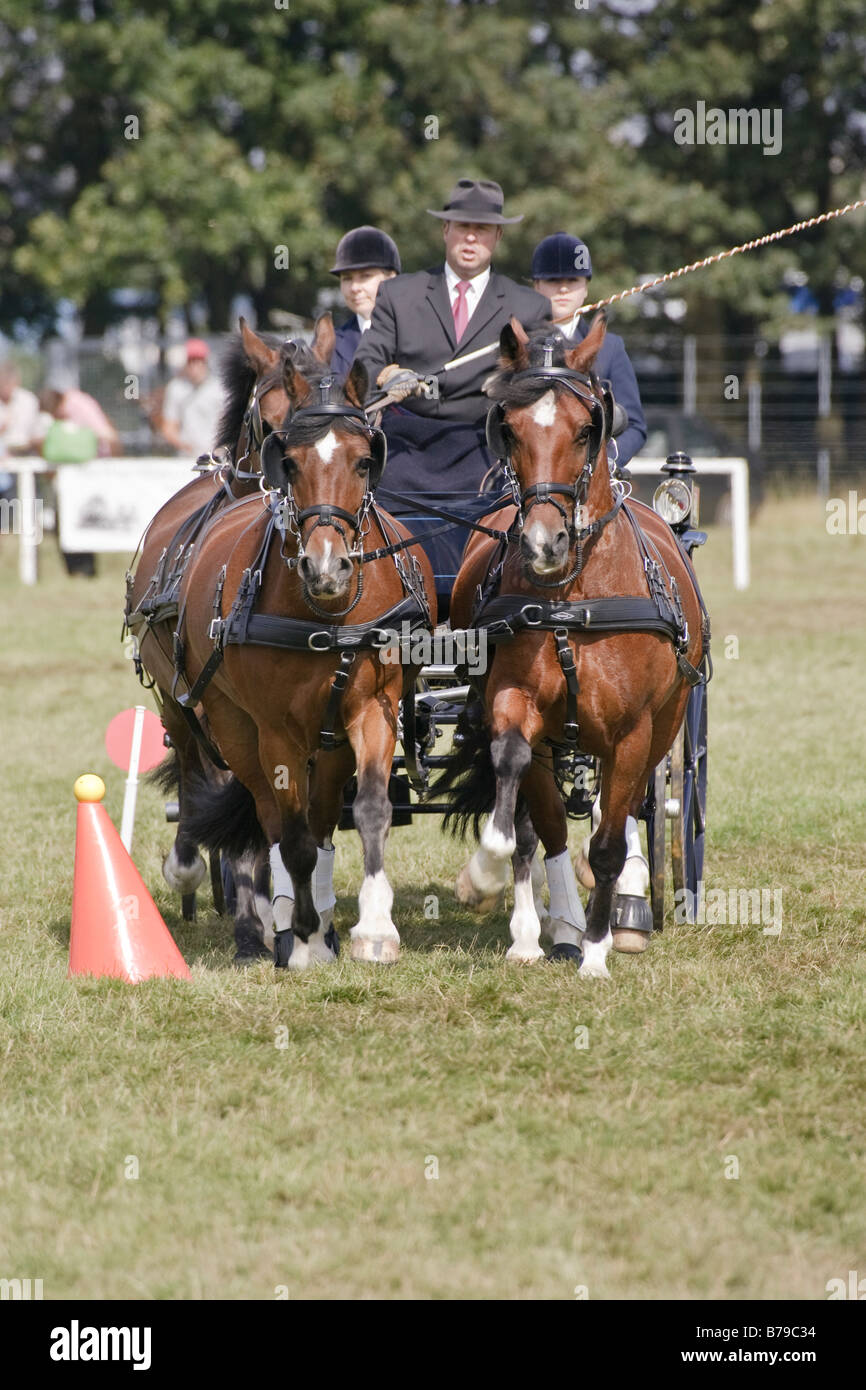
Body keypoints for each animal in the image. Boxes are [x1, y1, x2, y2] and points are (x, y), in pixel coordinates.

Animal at [125, 316, 338, 960]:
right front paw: (251, 925)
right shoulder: (223, 708)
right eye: (269, 422)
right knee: (196, 772)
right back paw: (197, 873)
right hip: (176, 705)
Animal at [171, 348, 437, 969]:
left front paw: (374, 930)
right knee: (273, 821)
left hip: (332, 737)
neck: (330, 617)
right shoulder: (276, 732)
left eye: (365, 462)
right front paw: (307, 937)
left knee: (321, 821)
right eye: (288, 463)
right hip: (232, 730)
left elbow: (370, 810)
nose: (326, 567)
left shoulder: (375, 707)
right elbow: (289, 839)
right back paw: (285, 926)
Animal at [439, 315, 709, 978]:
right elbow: (521, 799)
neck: (571, 597)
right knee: (548, 826)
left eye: (587, 429)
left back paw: (619, 919)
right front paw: (485, 877)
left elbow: (611, 840)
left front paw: (598, 950)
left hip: (663, 725)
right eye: (507, 428)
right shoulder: (512, 703)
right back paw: (546, 931)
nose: (543, 543)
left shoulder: (635, 731)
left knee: (627, 810)